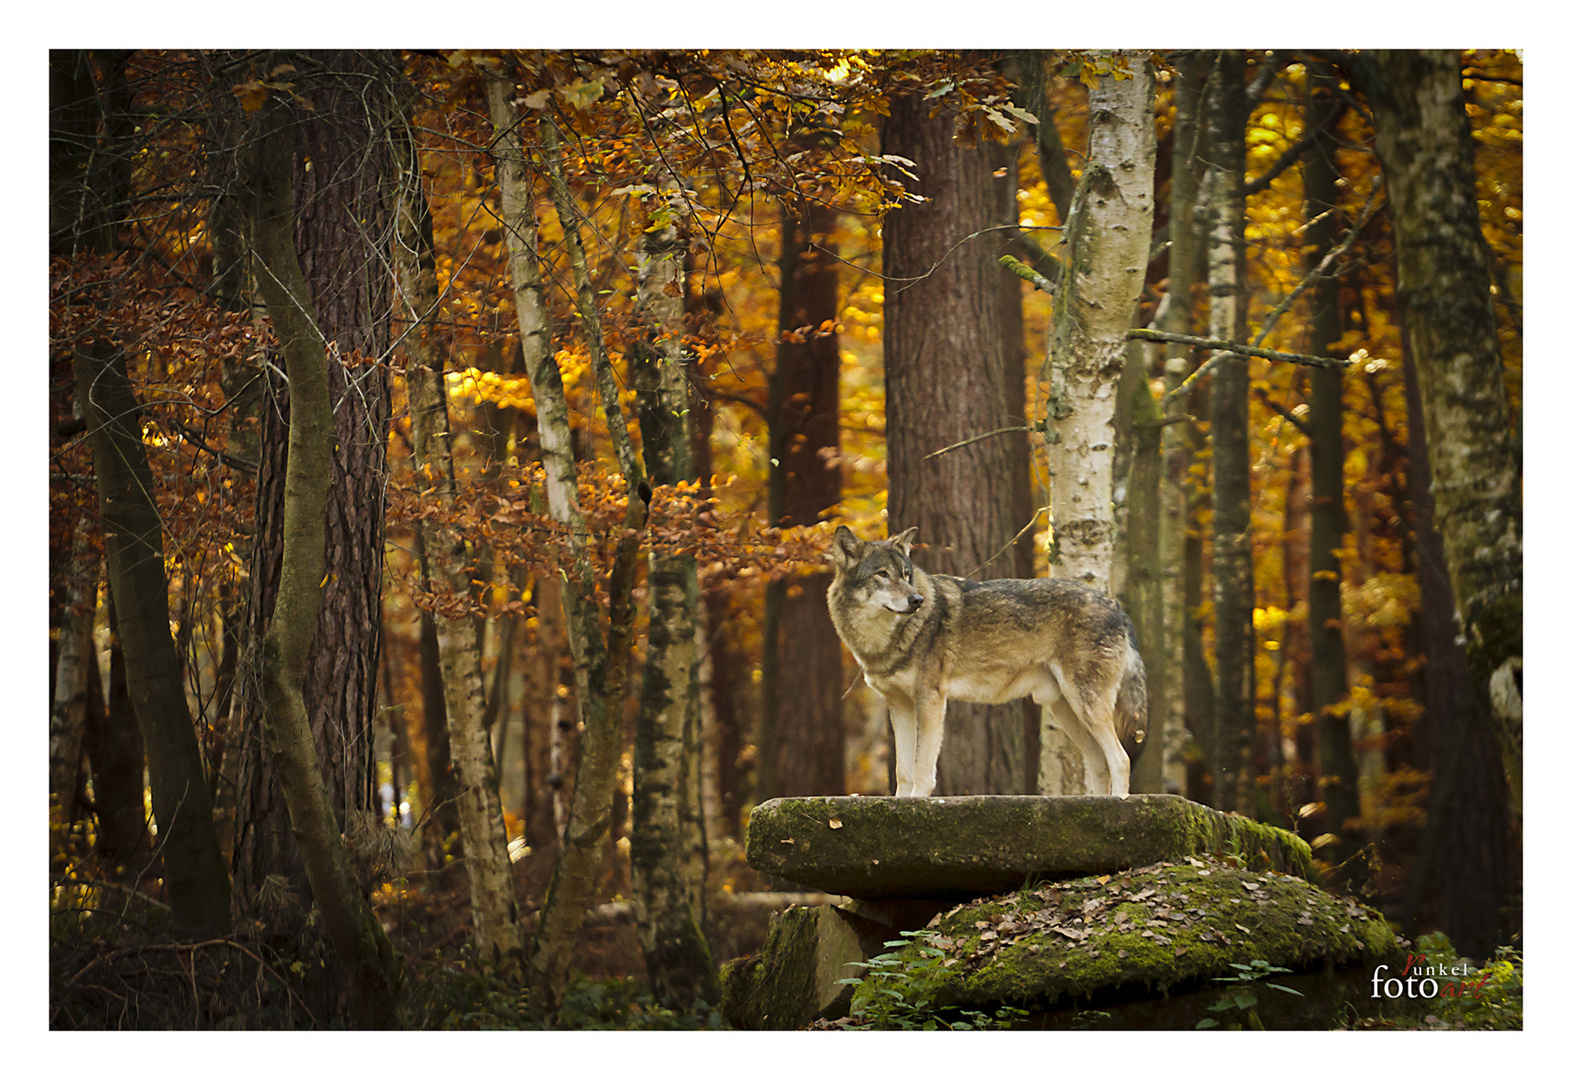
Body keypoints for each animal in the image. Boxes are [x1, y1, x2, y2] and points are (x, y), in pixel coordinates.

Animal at [830, 528, 1150, 798]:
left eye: (906, 575)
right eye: (882, 574)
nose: (917, 600)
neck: (883, 640)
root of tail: (1116, 607)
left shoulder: (930, 699)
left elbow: (921, 768)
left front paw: (917, 803)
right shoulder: (899, 705)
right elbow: (904, 771)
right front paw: (901, 803)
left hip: (1086, 705)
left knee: (1121, 759)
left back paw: (1118, 803)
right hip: (1066, 711)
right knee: (1101, 764)